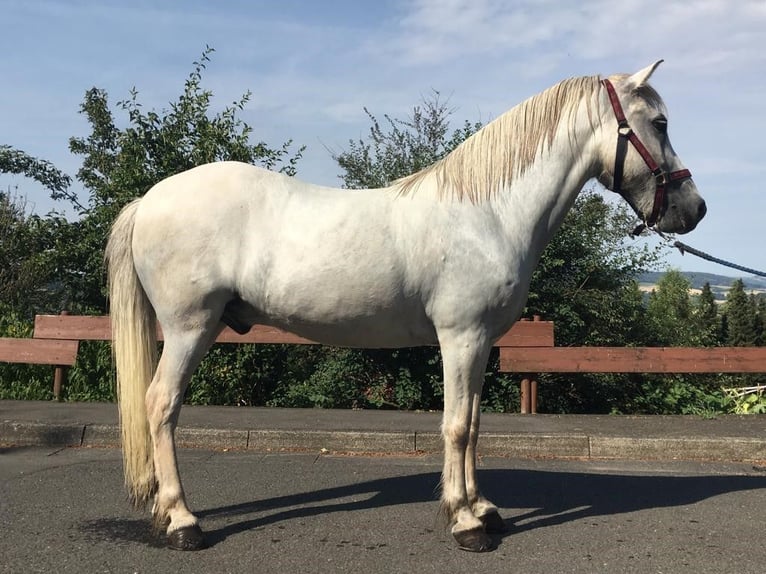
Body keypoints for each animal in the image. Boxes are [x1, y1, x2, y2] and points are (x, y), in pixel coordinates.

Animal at [106, 62, 708, 552]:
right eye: (659, 123)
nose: (695, 208)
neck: (489, 212)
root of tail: (150, 200)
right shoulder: (460, 337)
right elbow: (456, 426)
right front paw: (465, 522)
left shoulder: (480, 343)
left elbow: (474, 423)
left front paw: (483, 509)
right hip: (190, 327)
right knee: (160, 405)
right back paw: (183, 520)